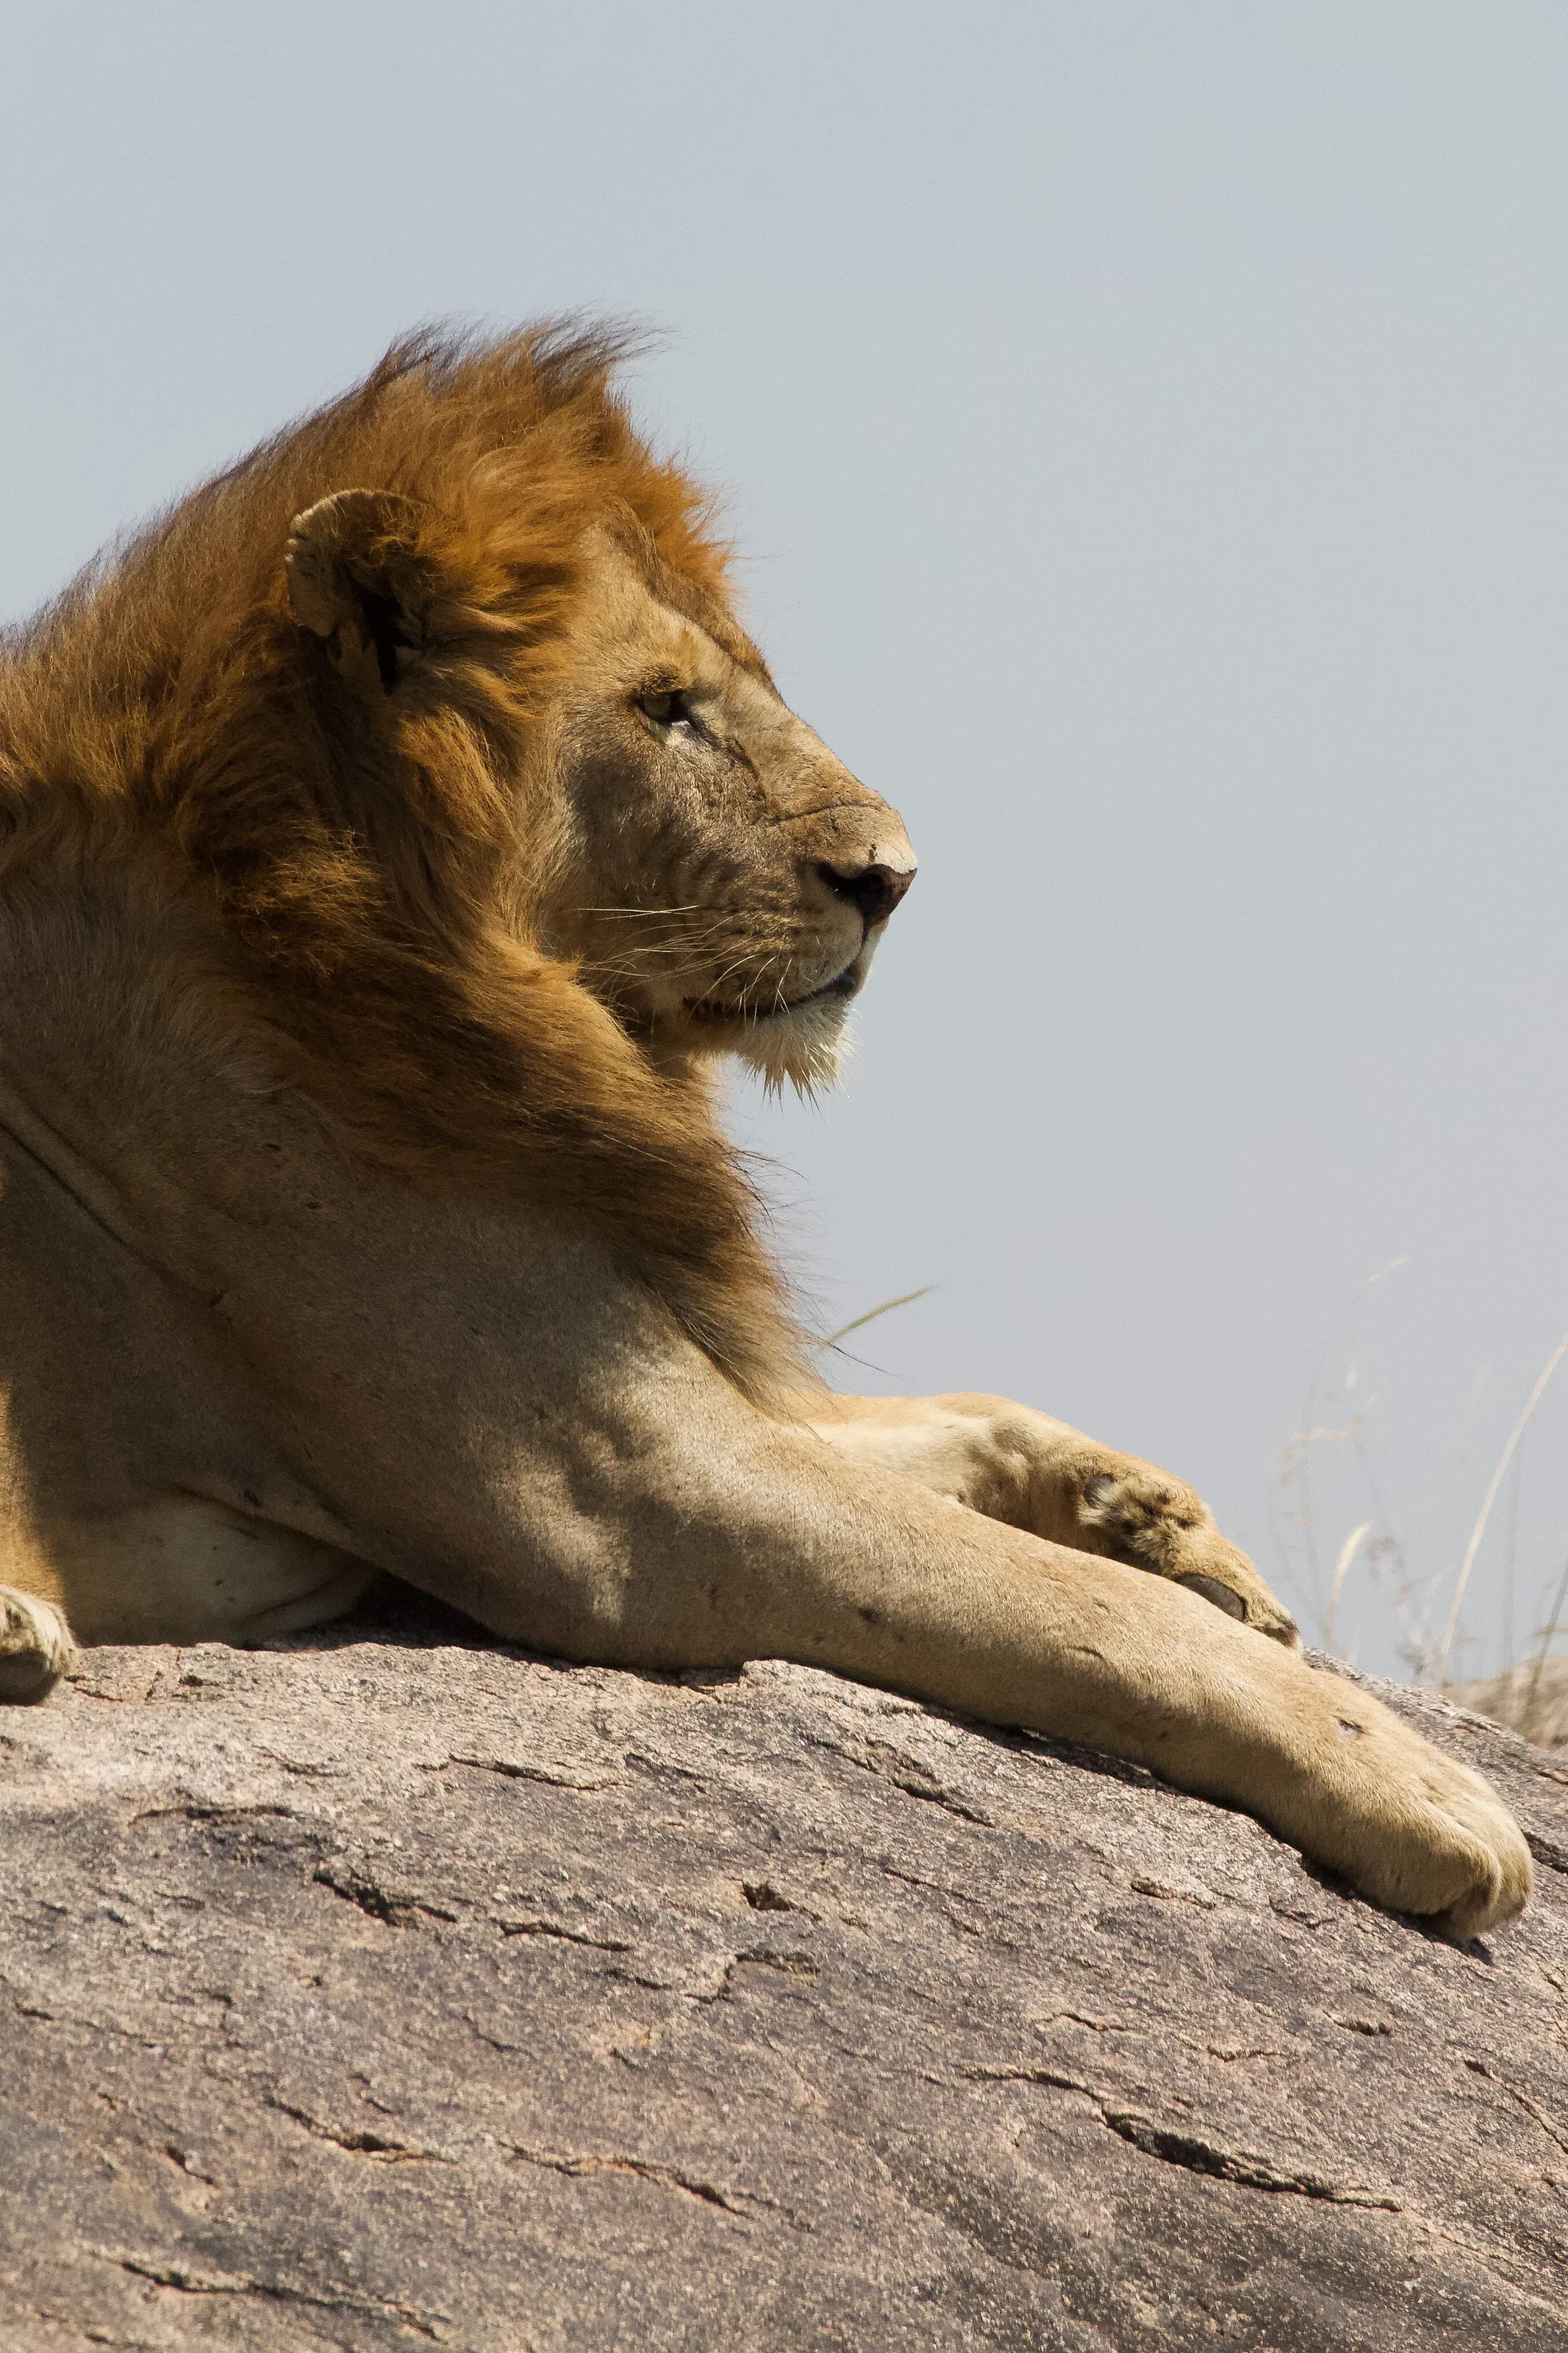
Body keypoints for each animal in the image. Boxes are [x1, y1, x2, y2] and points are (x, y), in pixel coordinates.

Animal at [0, 325, 1529, 1939]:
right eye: (666, 707)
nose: (894, 879)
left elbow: (946, 1420)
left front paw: (1152, 1518)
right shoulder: (621, 1498)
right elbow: (1076, 1612)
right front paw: (1418, 1791)